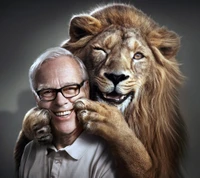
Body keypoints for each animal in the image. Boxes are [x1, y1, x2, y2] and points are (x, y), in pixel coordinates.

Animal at [14, 2, 186, 178]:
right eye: (101, 50)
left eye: (138, 56)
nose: (116, 76)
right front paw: (38, 125)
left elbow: (136, 154)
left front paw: (106, 120)